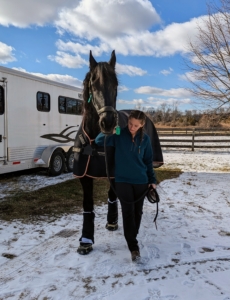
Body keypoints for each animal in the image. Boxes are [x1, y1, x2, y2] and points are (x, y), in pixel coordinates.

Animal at [73, 50, 163, 254]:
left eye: (115, 84)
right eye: (93, 83)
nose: (107, 122)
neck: (95, 140)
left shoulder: (114, 173)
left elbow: (115, 196)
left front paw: (113, 223)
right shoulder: (84, 175)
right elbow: (87, 205)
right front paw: (86, 240)